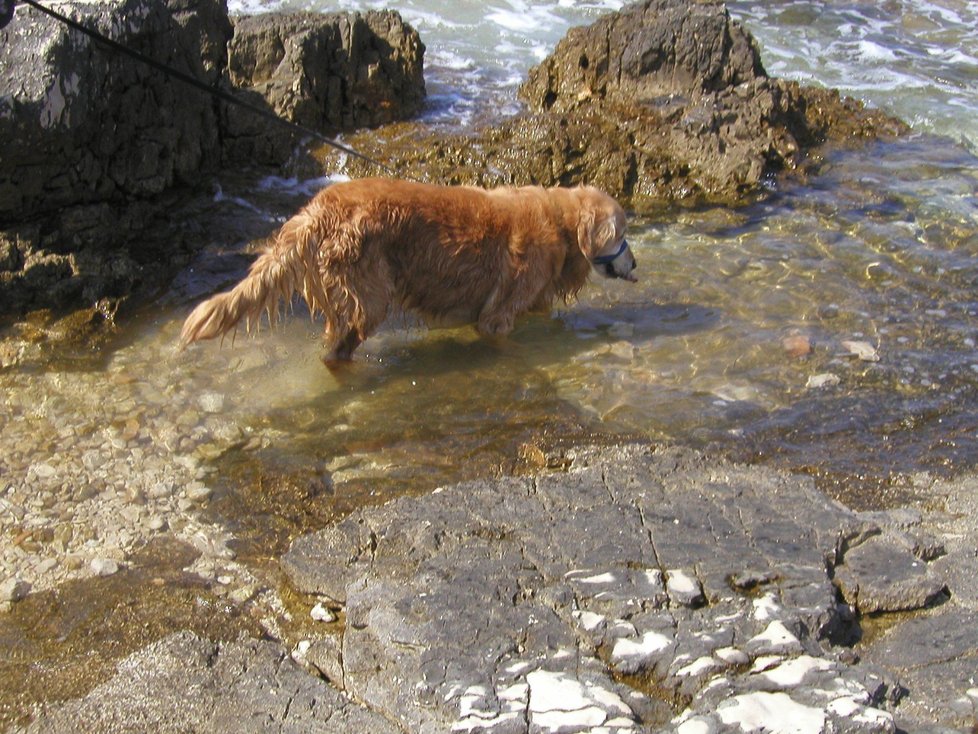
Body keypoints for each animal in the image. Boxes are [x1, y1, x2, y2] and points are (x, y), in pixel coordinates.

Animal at [179, 179, 636, 368]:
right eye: (622, 233)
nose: (635, 264)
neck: (560, 221)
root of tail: (316, 211)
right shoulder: (497, 317)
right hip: (370, 298)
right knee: (339, 350)